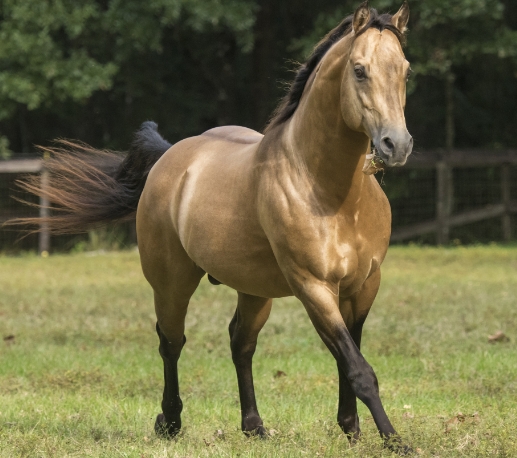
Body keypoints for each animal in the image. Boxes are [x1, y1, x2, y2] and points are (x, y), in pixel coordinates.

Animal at [14, 0, 414, 454]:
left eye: (405, 70)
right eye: (359, 70)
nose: (396, 145)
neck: (331, 192)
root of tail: (171, 156)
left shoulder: (363, 286)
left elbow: (349, 359)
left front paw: (351, 429)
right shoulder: (313, 287)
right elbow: (359, 368)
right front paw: (394, 441)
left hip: (254, 289)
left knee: (241, 343)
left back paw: (253, 426)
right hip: (172, 283)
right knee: (171, 342)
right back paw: (170, 421)